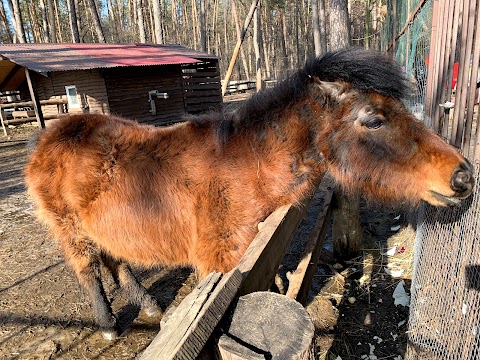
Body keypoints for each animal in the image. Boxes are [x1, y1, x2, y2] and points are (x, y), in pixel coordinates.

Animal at [24, 47, 474, 338]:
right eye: (375, 119)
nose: (463, 176)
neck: (246, 170)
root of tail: (50, 137)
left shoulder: (260, 247)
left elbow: (272, 282)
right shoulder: (222, 264)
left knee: (117, 261)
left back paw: (151, 307)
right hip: (71, 233)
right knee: (89, 271)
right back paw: (108, 328)